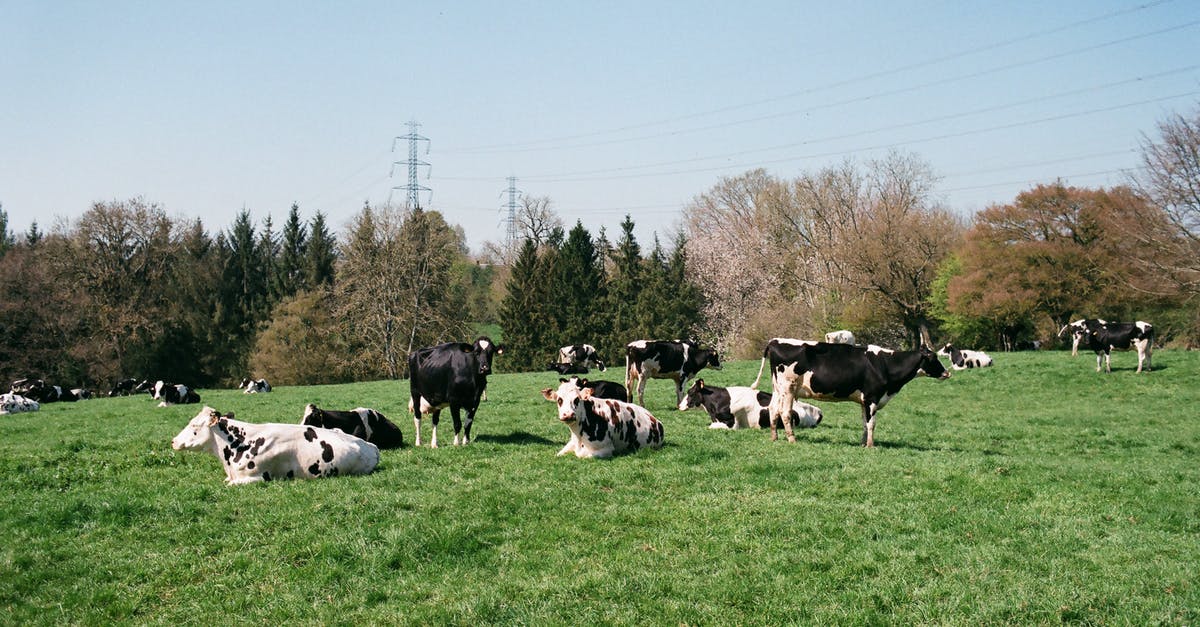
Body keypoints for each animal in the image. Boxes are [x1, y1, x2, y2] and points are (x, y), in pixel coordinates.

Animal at [753, 338, 950, 446]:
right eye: (933, 358)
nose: (947, 373)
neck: (885, 364)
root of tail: (774, 341)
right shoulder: (872, 398)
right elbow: (872, 423)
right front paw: (871, 445)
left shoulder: (864, 401)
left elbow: (864, 423)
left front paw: (863, 443)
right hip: (788, 387)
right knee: (785, 412)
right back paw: (792, 439)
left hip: (777, 388)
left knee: (773, 409)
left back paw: (774, 437)